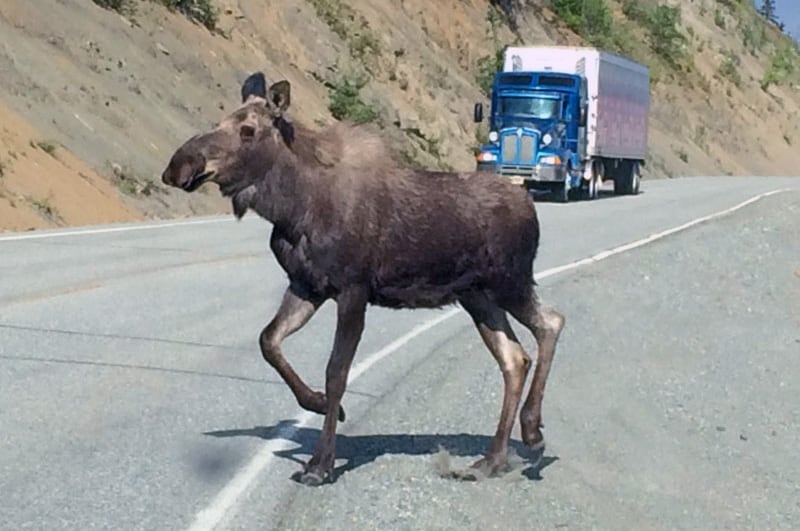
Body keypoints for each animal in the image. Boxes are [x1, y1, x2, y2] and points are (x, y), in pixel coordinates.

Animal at [159, 72, 564, 488]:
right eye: (221, 120)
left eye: (247, 130)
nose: (179, 164)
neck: (292, 208)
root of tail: (530, 206)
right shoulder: (307, 286)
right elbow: (268, 341)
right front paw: (319, 404)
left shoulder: (353, 290)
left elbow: (336, 371)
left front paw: (320, 463)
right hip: (477, 296)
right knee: (515, 358)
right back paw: (493, 458)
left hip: (510, 282)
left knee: (551, 322)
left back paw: (531, 433)